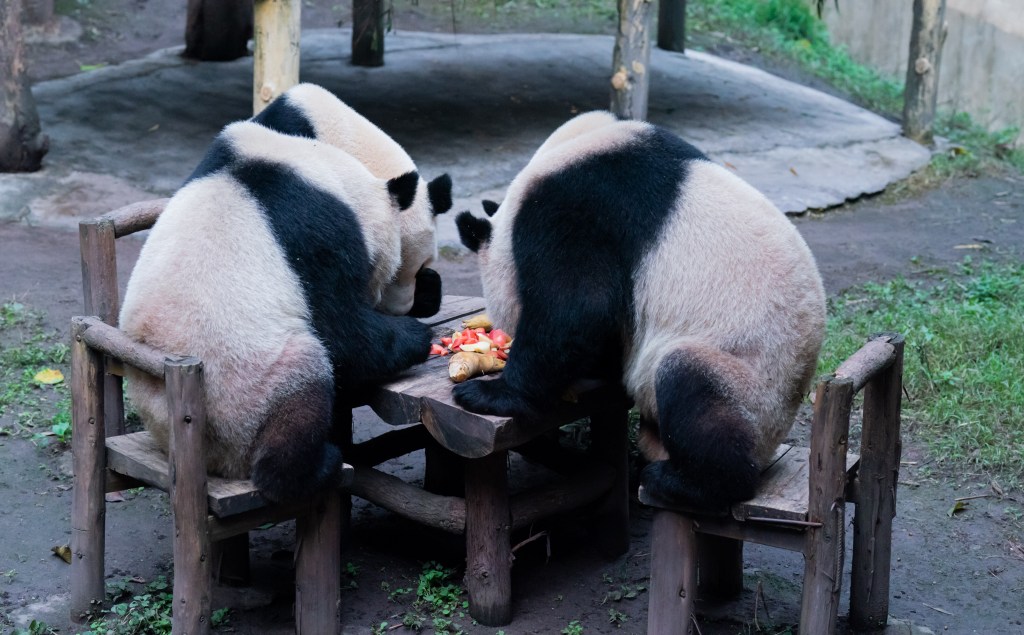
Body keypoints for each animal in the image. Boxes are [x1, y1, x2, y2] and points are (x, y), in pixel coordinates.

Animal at [119, 121, 432, 503]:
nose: (382, 299)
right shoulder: (317, 232)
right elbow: (342, 332)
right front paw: (416, 335)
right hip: (247, 391)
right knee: (302, 378)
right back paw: (312, 468)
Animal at [454, 111, 823, 508]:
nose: (503, 335)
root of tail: (773, 443)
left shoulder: (578, 208)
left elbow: (578, 307)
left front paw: (489, 394)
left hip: (751, 383)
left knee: (693, 386)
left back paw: (681, 481)